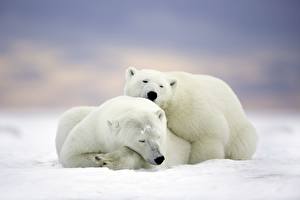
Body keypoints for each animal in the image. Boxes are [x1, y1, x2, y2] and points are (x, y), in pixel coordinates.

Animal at [55, 95, 190, 169]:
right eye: (141, 140)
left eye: (158, 136)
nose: (159, 158)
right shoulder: (94, 130)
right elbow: (71, 154)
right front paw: (100, 158)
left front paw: (107, 159)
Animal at [124, 68, 258, 163]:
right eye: (144, 80)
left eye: (161, 86)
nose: (152, 94)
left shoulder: (192, 110)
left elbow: (208, 135)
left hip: (239, 130)